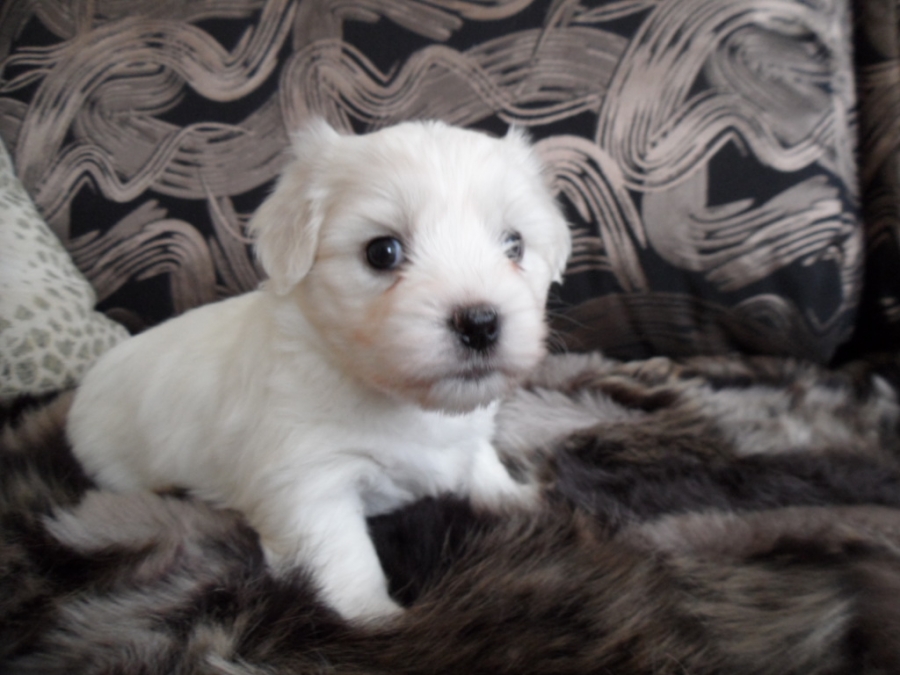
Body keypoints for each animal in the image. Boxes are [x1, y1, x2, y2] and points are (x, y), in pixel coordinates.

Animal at [67, 119, 571, 621]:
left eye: (514, 244)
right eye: (382, 252)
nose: (481, 323)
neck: (393, 397)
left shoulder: (465, 434)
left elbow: (480, 461)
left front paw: (517, 497)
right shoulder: (308, 482)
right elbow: (344, 556)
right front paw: (375, 616)